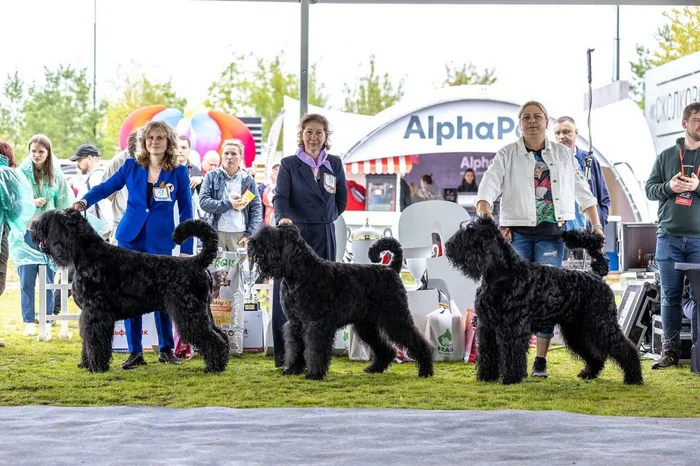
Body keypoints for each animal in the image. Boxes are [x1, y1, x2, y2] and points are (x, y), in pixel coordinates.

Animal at [30, 209, 230, 374]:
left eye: (49, 220)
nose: (32, 228)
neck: (88, 254)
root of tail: (197, 262)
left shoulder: (96, 313)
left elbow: (95, 340)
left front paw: (96, 366)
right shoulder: (88, 314)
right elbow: (87, 340)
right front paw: (85, 364)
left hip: (190, 314)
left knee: (213, 338)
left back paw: (214, 367)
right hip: (203, 312)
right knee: (220, 335)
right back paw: (221, 363)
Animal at [246, 224, 432, 380]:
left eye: (272, 236)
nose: (250, 243)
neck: (301, 273)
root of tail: (391, 269)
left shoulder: (316, 324)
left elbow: (315, 349)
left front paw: (314, 374)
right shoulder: (295, 323)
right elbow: (295, 347)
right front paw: (292, 369)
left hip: (395, 319)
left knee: (418, 342)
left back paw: (426, 370)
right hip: (366, 325)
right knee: (385, 348)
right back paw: (375, 368)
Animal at [446, 218, 644, 386]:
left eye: (470, 233)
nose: (449, 245)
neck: (502, 274)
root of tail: (596, 274)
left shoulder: (512, 327)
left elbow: (511, 354)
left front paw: (511, 378)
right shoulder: (487, 327)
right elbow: (488, 354)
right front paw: (486, 377)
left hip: (601, 323)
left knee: (625, 348)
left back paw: (633, 377)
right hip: (577, 329)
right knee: (594, 353)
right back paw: (589, 372)